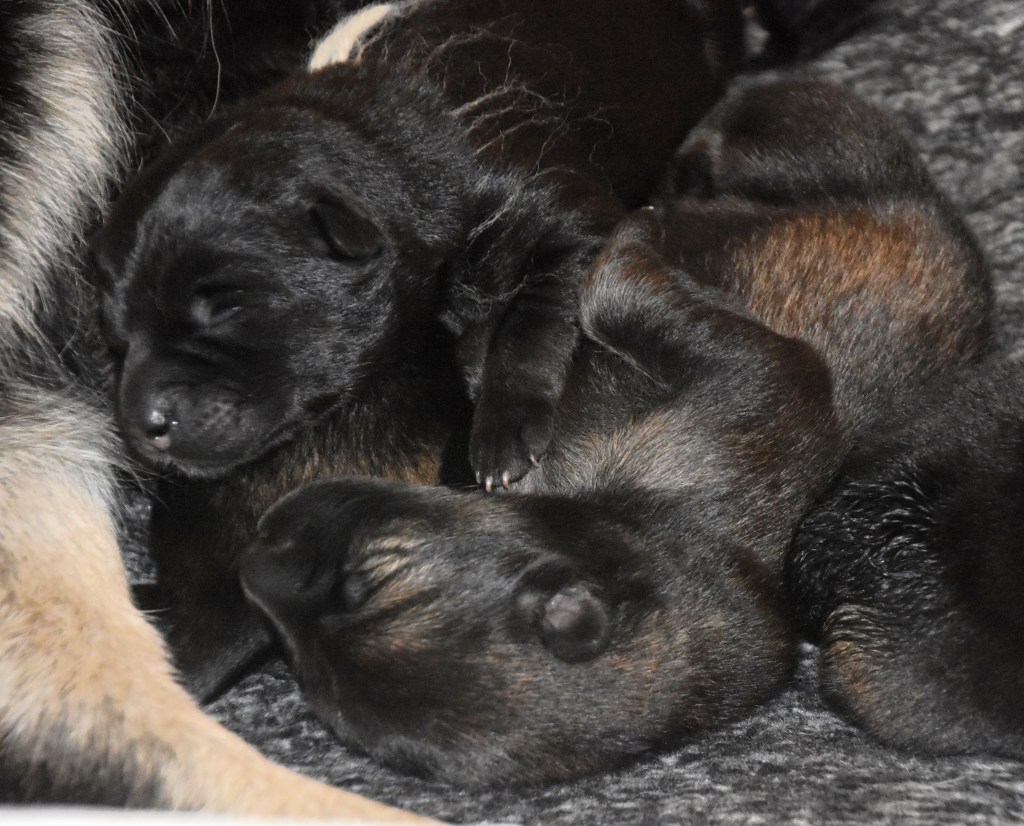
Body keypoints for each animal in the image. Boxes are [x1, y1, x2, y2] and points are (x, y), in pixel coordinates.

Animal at [93, 0, 747, 698]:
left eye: (226, 307)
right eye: (118, 335)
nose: (141, 425)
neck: (387, 152)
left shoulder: (570, 217)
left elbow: (533, 318)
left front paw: (501, 434)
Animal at [238, 79, 992, 786]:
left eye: (379, 567)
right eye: (309, 682)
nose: (258, 544)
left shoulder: (766, 372)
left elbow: (605, 288)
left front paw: (625, 237)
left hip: (810, 148)